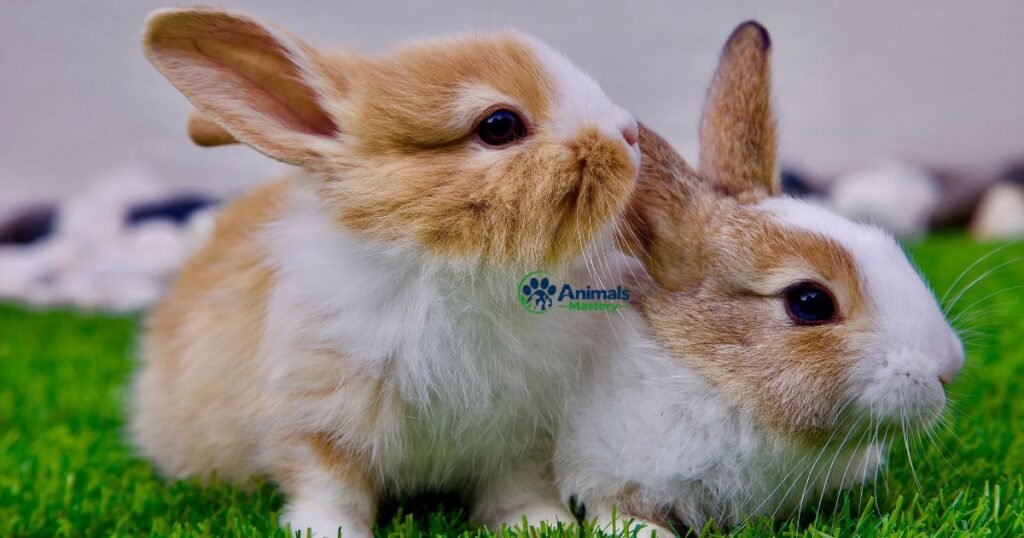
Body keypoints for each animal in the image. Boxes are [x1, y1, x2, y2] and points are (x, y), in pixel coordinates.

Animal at [130, 7, 642, 537]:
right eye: (499, 125)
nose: (630, 133)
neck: (450, 268)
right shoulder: (315, 423)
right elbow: (328, 490)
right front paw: (326, 532)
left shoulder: (522, 435)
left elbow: (514, 488)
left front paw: (539, 524)